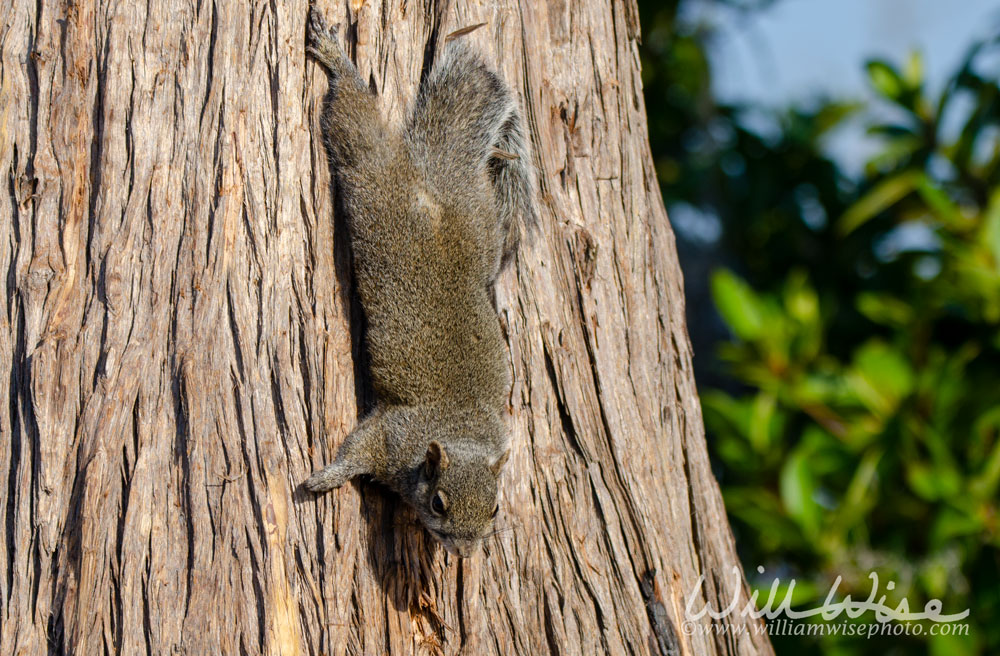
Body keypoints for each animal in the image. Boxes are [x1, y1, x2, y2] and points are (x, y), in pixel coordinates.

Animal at [304, 7, 540, 556]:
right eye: (438, 503)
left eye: (495, 508)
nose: (466, 553)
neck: (459, 434)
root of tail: (434, 179)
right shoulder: (393, 435)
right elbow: (358, 449)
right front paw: (326, 477)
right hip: (374, 187)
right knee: (357, 129)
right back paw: (338, 63)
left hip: (482, 221)